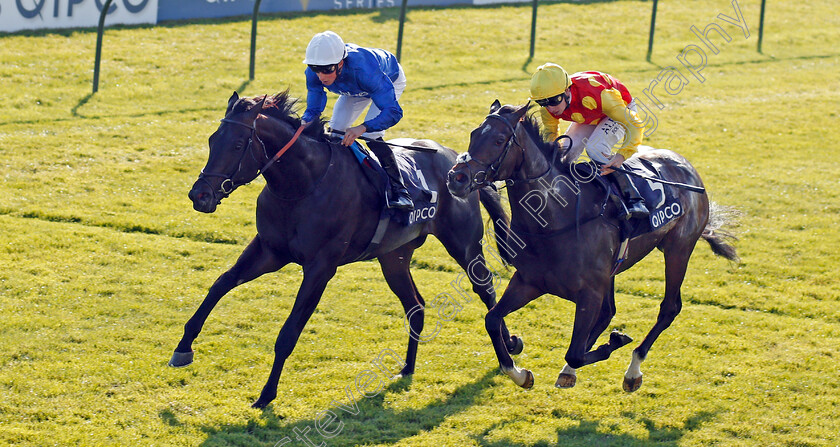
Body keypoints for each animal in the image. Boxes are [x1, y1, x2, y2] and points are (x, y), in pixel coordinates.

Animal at [171, 91, 524, 410]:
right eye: (211, 140)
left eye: (236, 145)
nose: (199, 195)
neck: (302, 185)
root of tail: (458, 161)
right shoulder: (269, 250)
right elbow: (220, 284)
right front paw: (183, 348)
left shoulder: (320, 268)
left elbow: (288, 333)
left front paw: (266, 395)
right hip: (393, 257)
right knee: (416, 306)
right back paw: (407, 368)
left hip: (463, 245)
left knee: (486, 289)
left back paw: (509, 348)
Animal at [446, 100, 736, 392]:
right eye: (473, 134)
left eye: (498, 140)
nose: (456, 178)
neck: (554, 221)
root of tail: (687, 167)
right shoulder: (529, 281)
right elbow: (492, 320)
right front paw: (520, 373)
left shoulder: (589, 293)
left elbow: (574, 351)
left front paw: (614, 342)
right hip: (614, 269)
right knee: (609, 312)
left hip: (679, 249)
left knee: (669, 308)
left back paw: (633, 370)